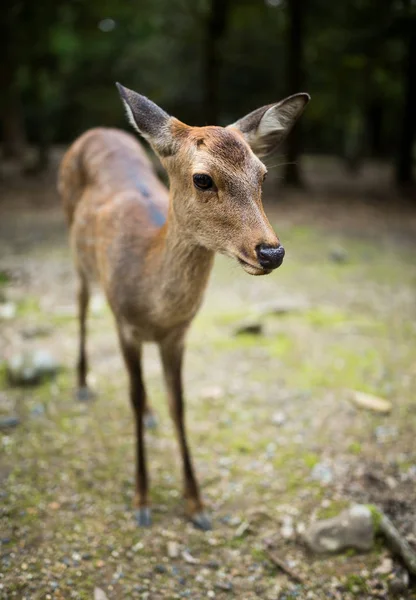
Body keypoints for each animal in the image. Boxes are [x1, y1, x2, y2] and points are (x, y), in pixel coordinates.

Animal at [59, 84, 308, 528]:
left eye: (263, 175)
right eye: (203, 178)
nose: (272, 252)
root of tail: (96, 131)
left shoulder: (177, 334)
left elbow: (179, 404)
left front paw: (197, 503)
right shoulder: (126, 325)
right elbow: (132, 396)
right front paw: (141, 500)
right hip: (76, 253)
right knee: (83, 304)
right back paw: (84, 384)